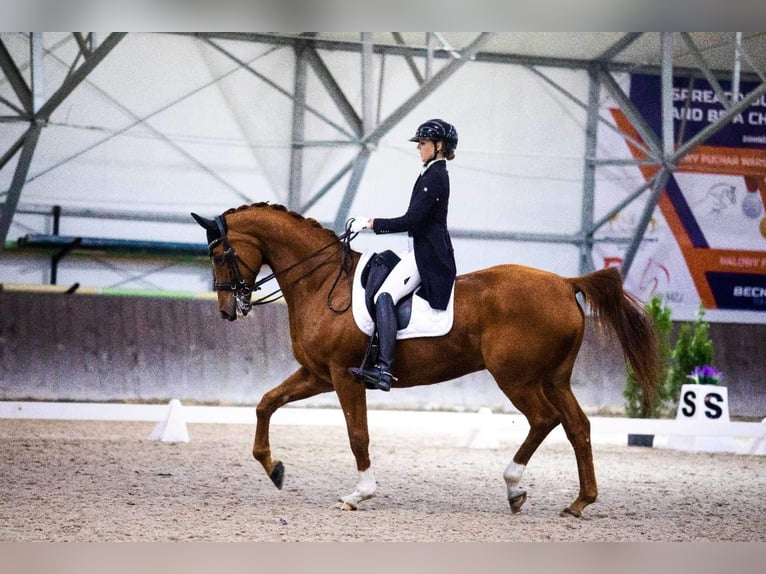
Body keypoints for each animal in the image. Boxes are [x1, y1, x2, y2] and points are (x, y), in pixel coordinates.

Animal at [190, 205, 660, 520]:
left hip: (517, 378)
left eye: (219, 255)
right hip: (554, 378)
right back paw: (580, 502)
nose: (228, 310)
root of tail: (565, 283)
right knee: (577, 427)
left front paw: (359, 494)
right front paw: (274, 469)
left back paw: (514, 488)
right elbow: (266, 403)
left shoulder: (344, 376)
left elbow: (357, 436)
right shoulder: (318, 375)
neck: (323, 283)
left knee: (545, 420)